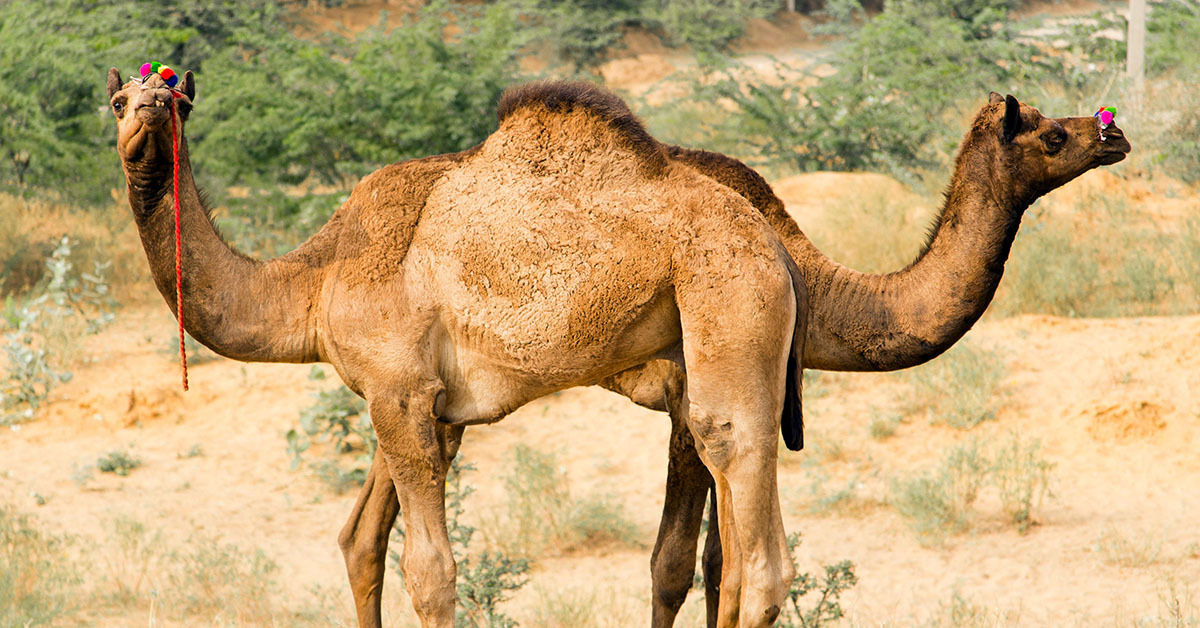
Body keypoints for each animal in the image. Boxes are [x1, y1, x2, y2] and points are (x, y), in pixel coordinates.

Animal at [110, 69, 816, 628]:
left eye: (175, 101)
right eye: (118, 101)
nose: (149, 111)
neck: (316, 280)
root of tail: (776, 250)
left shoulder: (398, 390)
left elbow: (430, 572)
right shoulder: (432, 405)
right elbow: (362, 541)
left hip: (730, 301)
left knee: (751, 520)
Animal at [324, 89, 1128, 628]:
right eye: (1053, 135)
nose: (1113, 135)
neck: (825, 285)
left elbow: (716, 564)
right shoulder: (689, 392)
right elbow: (687, 563)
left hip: (438, 391)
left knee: (379, 501)